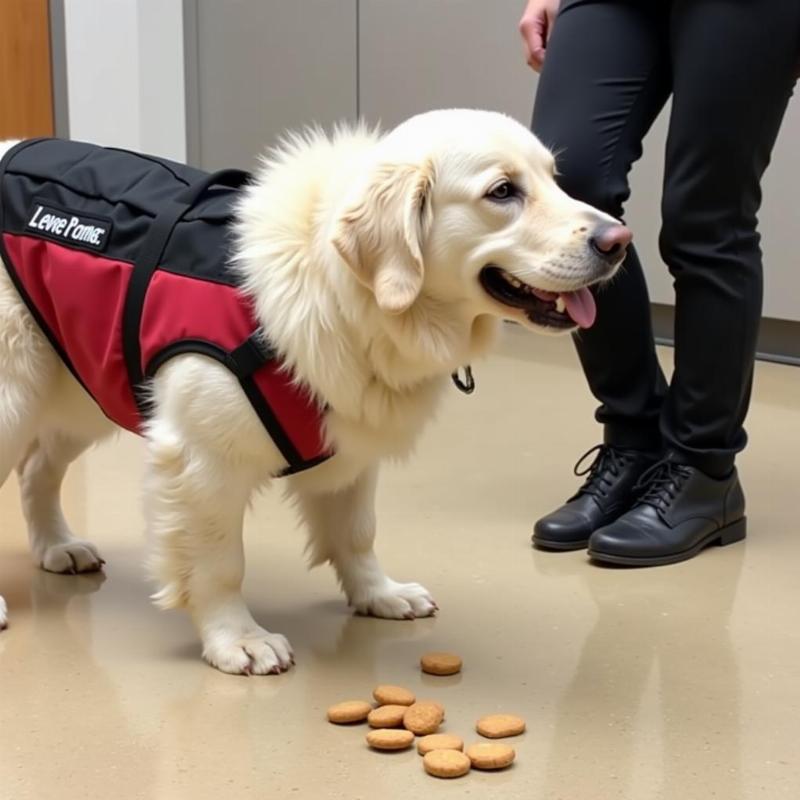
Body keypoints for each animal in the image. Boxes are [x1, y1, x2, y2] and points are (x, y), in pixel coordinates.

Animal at [0, 109, 628, 672]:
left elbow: (356, 533)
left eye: (555, 178)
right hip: (18, 399)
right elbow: (219, 562)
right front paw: (237, 639)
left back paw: (58, 546)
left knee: (37, 471)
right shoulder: (202, 461)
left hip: (84, 384)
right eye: (502, 191)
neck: (346, 293)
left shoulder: (351, 444)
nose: (618, 239)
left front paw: (379, 593)